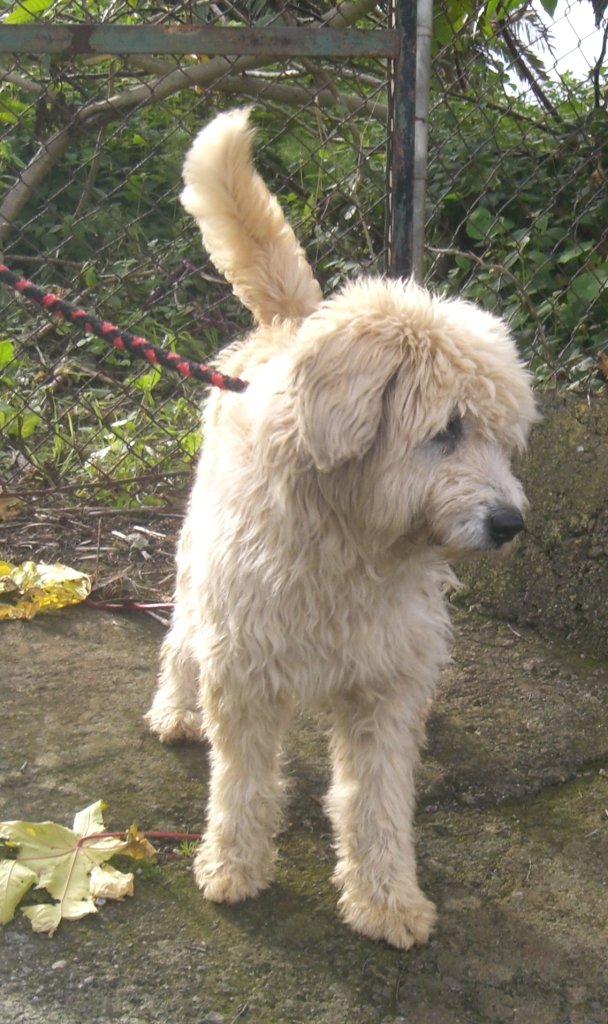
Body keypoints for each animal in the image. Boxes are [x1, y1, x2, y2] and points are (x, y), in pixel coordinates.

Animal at [146, 108, 536, 946]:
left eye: (503, 439)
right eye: (447, 430)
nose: (511, 523)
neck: (354, 544)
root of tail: (287, 327)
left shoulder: (384, 686)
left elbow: (376, 800)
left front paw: (386, 897)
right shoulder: (245, 672)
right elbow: (243, 782)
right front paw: (233, 865)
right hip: (199, 568)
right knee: (179, 637)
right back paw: (175, 710)